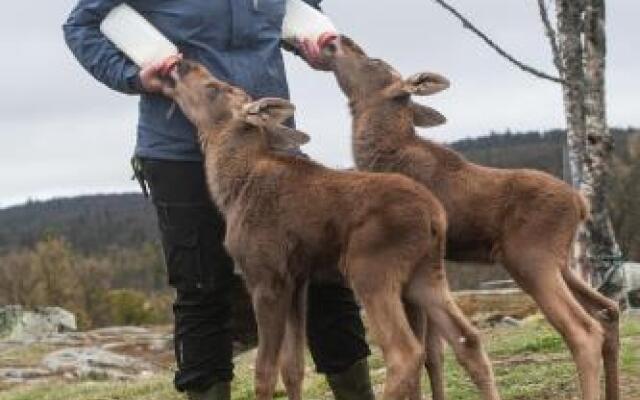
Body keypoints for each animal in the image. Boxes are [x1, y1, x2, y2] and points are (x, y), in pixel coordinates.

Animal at [160, 59, 500, 400]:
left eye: (213, 87)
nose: (182, 62)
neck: (230, 189)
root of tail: (435, 217)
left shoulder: (266, 277)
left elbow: (265, 371)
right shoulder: (296, 280)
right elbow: (293, 367)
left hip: (370, 269)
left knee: (405, 353)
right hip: (425, 273)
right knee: (467, 339)